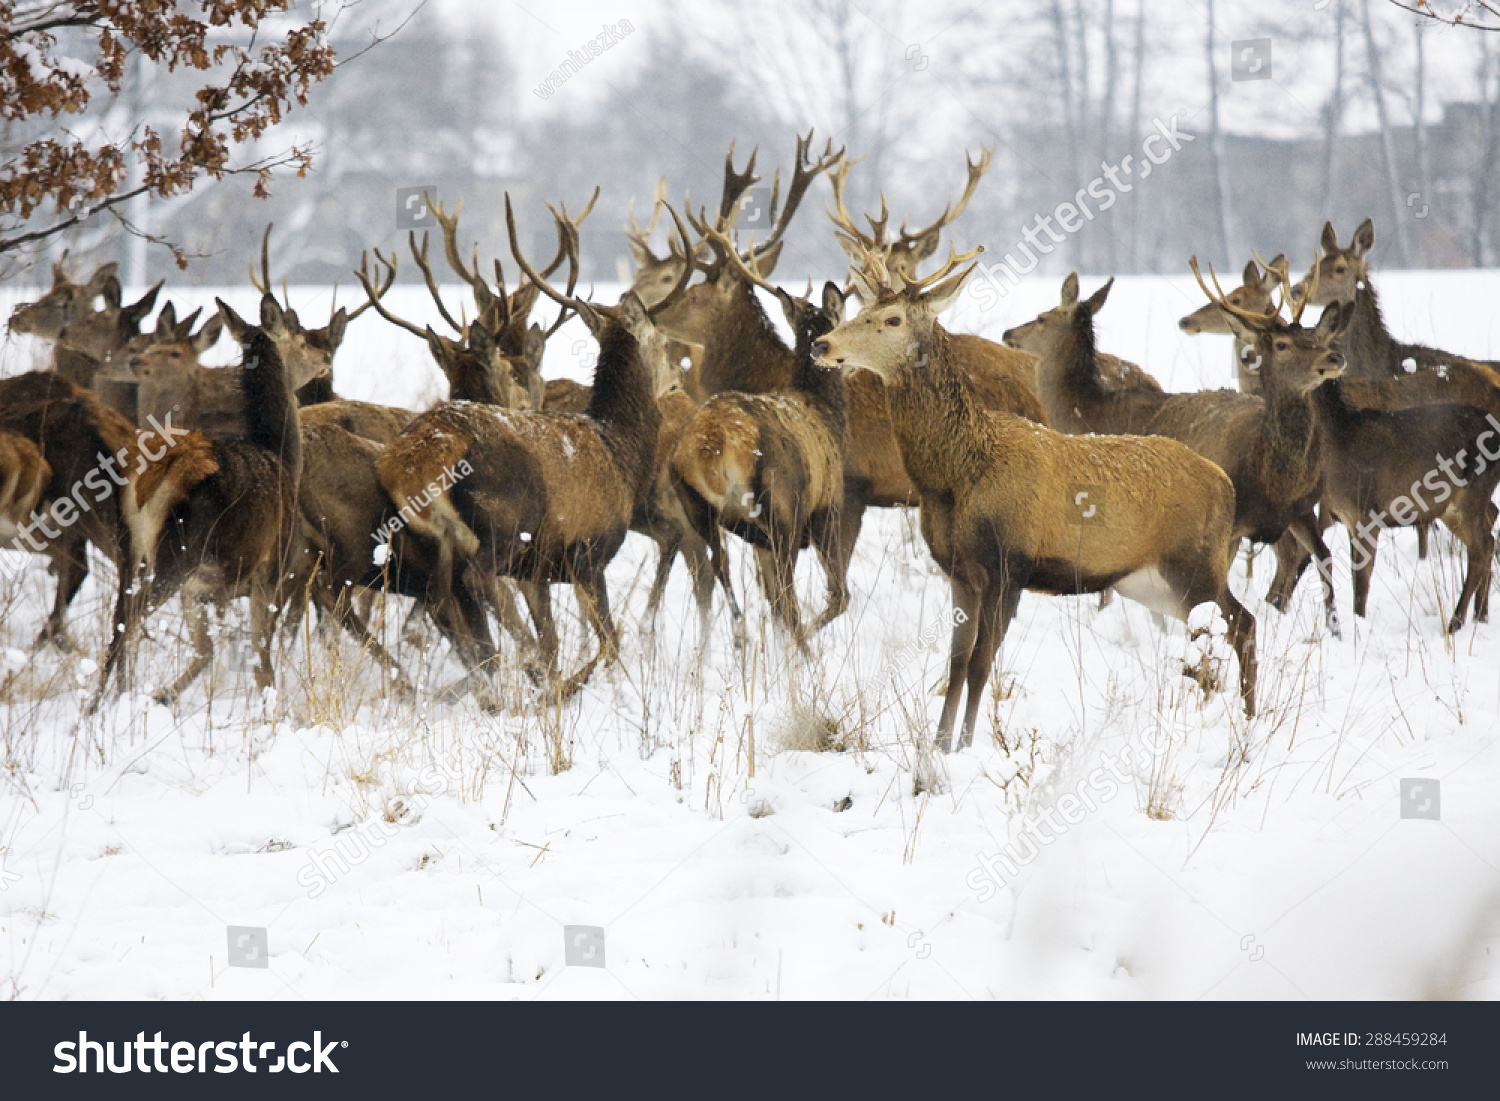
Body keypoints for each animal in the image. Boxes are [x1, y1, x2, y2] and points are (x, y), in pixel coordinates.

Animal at [810, 247, 1254, 750]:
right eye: (861, 310)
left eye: (892, 318)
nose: (821, 344)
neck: (957, 473)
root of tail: (1223, 483)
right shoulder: (959, 570)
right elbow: (955, 663)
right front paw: (940, 744)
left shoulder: (1010, 563)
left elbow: (982, 663)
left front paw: (966, 745)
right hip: (1152, 584)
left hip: (1196, 563)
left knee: (1244, 624)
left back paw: (1250, 717)